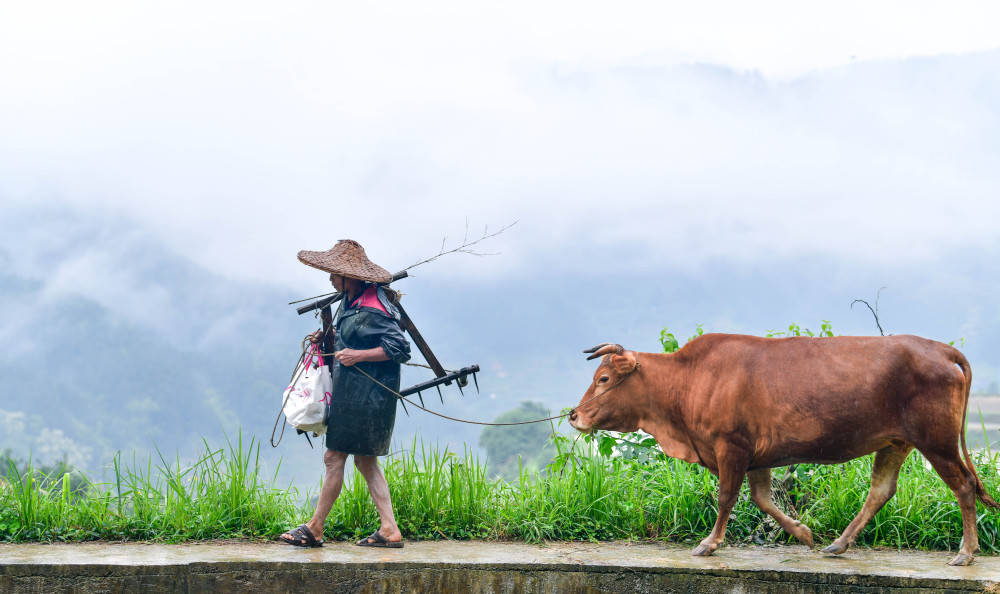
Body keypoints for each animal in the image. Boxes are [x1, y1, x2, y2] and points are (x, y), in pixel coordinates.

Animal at [568, 332, 996, 564]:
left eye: (603, 378)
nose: (574, 415)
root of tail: (940, 349)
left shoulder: (731, 446)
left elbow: (727, 497)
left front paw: (709, 543)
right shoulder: (757, 455)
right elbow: (761, 498)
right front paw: (803, 533)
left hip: (937, 441)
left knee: (963, 486)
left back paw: (967, 551)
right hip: (896, 442)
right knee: (881, 491)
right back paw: (838, 543)